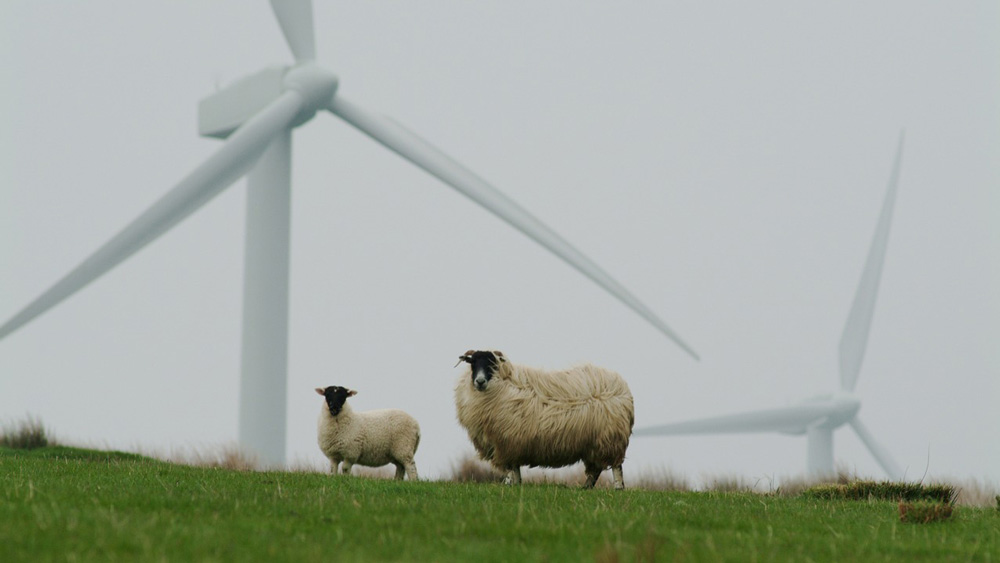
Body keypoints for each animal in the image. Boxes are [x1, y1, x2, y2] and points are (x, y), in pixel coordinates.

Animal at [454, 348, 632, 490]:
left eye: (492, 364)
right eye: (472, 363)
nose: (480, 381)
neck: (502, 386)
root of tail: (622, 388)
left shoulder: (506, 442)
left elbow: (511, 468)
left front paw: (508, 484)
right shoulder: (512, 444)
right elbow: (515, 469)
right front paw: (516, 485)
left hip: (611, 439)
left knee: (616, 466)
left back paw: (618, 487)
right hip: (593, 444)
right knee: (595, 470)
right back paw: (586, 488)